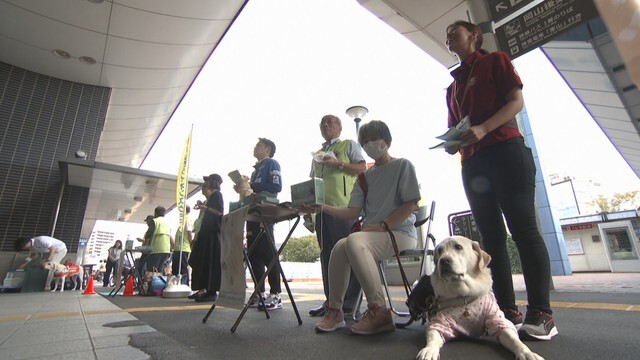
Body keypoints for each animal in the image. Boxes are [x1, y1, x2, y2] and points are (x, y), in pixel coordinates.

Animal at [416, 236, 544, 360]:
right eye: (439, 251)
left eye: (458, 247)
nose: (443, 260)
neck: (463, 296)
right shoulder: (439, 323)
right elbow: (433, 338)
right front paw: (429, 350)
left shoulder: (497, 321)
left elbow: (515, 341)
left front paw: (527, 353)